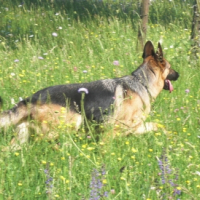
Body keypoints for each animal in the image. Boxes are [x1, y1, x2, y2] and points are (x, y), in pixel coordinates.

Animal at [0, 41, 178, 150]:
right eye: (170, 67)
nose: (179, 74)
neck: (141, 82)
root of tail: (31, 99)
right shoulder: (111, 130)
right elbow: (105, 149)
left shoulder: (136, 127)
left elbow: (158, 126)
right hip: (73, 120)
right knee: (39, 143)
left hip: (22, 136)